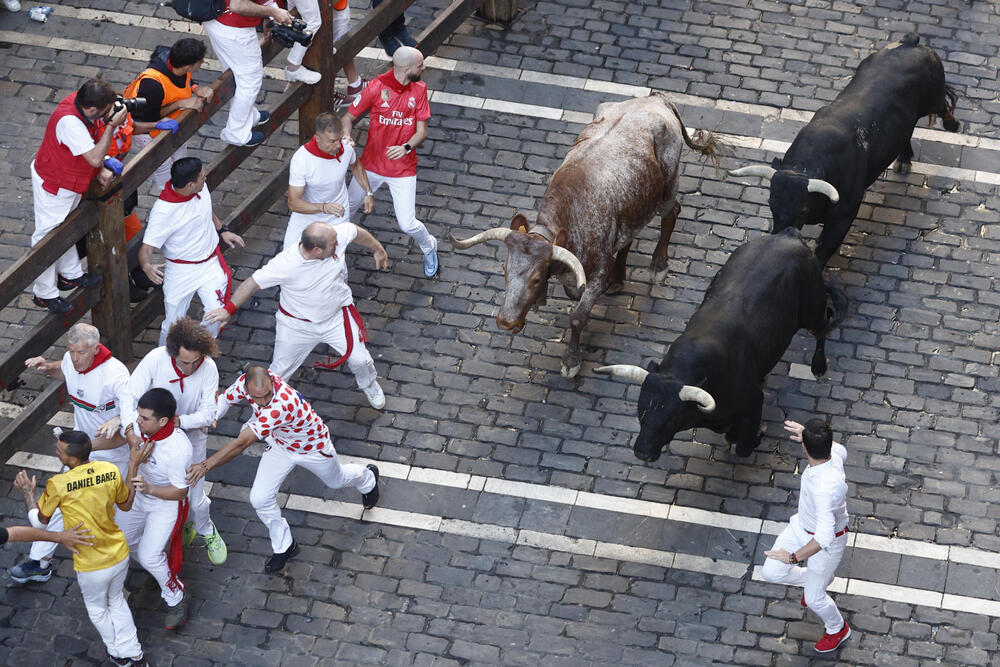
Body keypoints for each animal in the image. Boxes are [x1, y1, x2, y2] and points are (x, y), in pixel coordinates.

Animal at [450, 92, 716, 378]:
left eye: (536, 279)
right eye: (504, 269)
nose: (506, 322)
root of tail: (655, 98)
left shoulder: (597, 273)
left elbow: (577, 316)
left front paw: (571, 360)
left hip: (668, 185)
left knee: (672, 212)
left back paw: (658, 264)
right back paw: (619, 277)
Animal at [596, 232, 848, 468]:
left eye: (672, 418)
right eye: (641, 411)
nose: (642, 452)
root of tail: (788, 235)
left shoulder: (753, 403)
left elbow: (743, 447)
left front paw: (756, 436)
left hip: (811, 309)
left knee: (824, 324)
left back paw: (818, 365)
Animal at [732, 31, 956, 266]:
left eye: (802, 209)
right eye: (771, 202)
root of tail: (908, 42)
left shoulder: (843, 216)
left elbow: (823, 249)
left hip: (932, 97)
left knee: (943, 106)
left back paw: (952, 125)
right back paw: (903, 160)